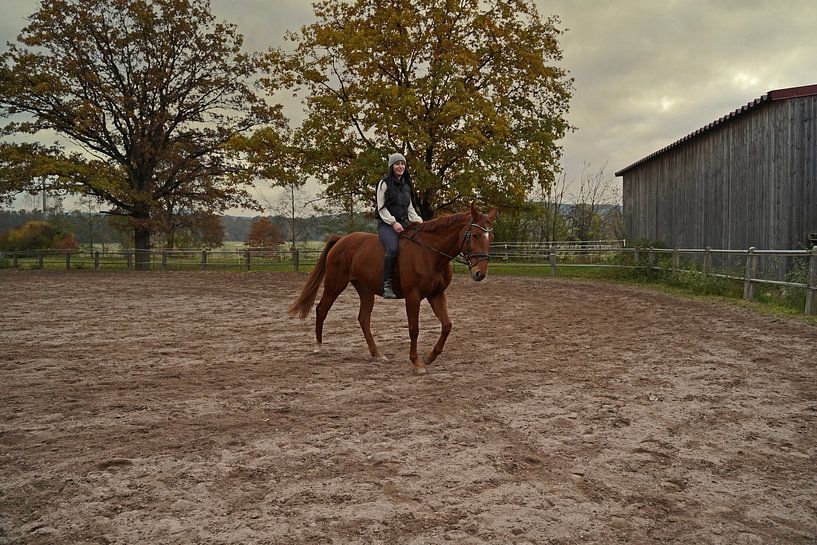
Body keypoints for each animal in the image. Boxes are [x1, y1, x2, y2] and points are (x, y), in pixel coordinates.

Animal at [288, 202, 498, 374]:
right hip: (334, 284)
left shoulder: (437, 295)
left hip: (365, 290)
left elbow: (447, 325)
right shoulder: (413, 297)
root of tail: (342, 240)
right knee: (321, 309)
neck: (430, 253)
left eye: (491, 237)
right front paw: (416, 363)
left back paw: (377, 353)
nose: (480, 273)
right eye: (476, 235)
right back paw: (318, 347)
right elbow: (414, 329)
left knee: (363, 318)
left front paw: (429, 356)